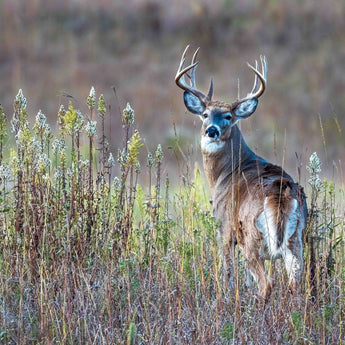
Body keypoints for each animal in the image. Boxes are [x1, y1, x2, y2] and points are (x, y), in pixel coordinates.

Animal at [175, 45, 306, 298]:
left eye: (228, 116)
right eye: (205, 114)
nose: (212, 131)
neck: (225, 173)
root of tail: (279, 190)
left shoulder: (224, 227)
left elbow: (227, 272)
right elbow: (245, 280)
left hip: (251, 237)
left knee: (266, 284)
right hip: (296, 239)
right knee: (295, 282)